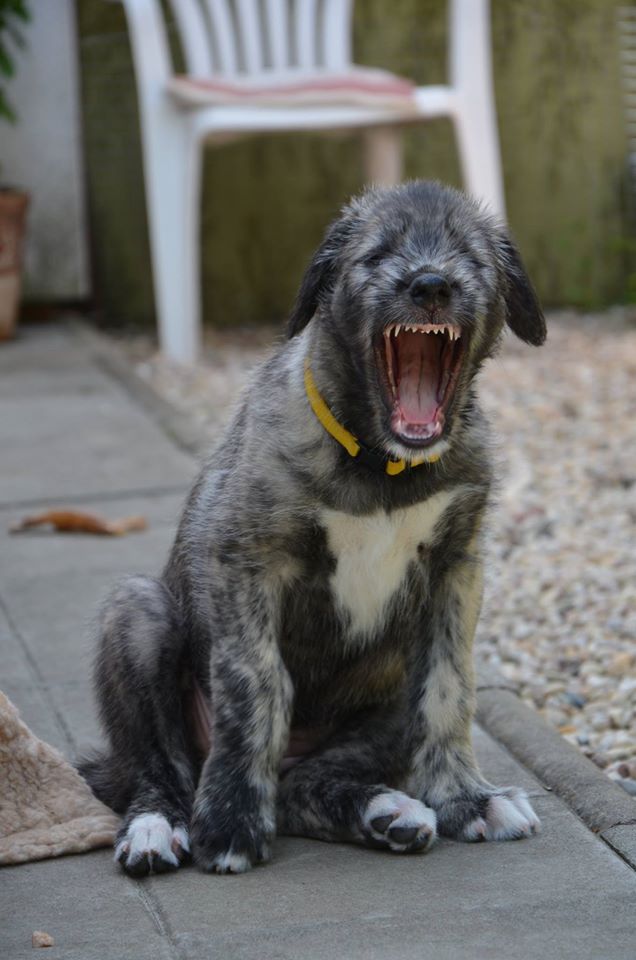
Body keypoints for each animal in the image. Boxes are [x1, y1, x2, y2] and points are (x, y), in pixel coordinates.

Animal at [80, 180, 548, 876]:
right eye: (377, 256)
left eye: (469, 256)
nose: (431, 285)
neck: (380, 465)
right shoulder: (247, 558)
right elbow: (255, 685)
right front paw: (231, 822)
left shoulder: (455, 568)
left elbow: (448, 689)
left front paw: (466, 799)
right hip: (138, 616)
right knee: (159, 767)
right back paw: (158, 826)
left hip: (384, 694)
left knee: (305, 782)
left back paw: (388, 811)